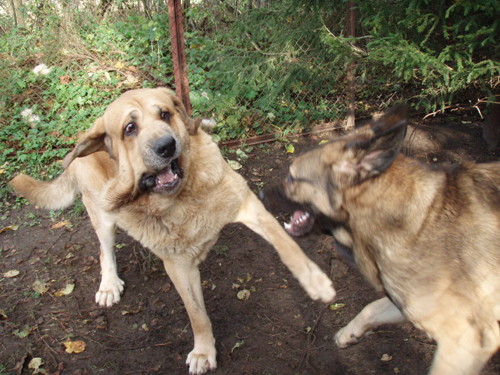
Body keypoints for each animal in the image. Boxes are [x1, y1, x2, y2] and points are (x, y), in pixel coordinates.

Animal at [8, 89, 336, 375]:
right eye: (130, 128)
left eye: (165, 114)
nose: (167, 146)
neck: (183, 197)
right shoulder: (178, 267)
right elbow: (196, 314)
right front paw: (204, 351)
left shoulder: (248, 204)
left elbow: (287, 245)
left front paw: (314, 280)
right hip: (102, 215)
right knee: (105, 250)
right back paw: (109, 284)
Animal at [260, 106, 500, 375]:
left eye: (292, 179)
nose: (259, 194)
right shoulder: (404, 302)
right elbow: (371, 307)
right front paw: (349, 334)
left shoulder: (467, 340)